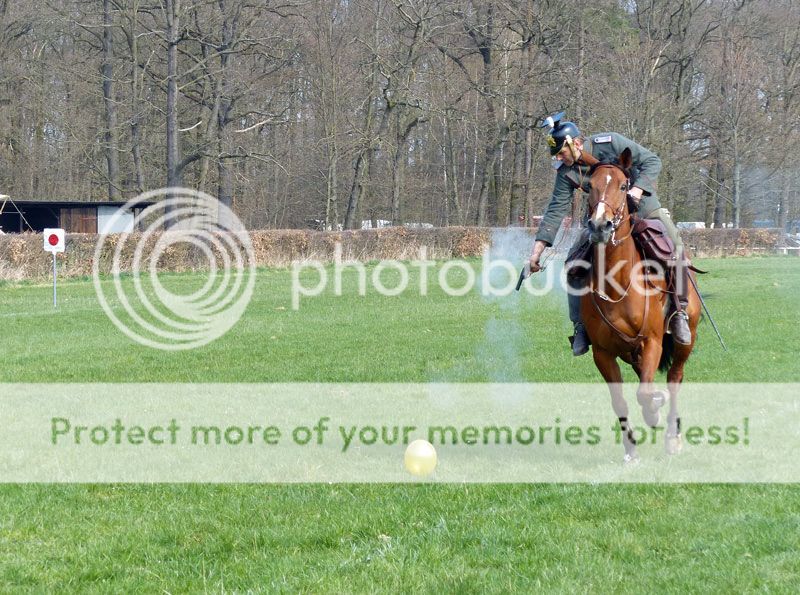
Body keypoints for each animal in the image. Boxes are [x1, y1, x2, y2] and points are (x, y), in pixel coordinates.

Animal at [576, 147, 700, 464]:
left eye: (623, 186)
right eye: (589, 186)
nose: (600, 226)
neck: (618, 283)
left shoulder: (653, 341)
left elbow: (646, 392)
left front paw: (654, 411)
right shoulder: (603, 353)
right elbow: (620, 401)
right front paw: (631, 449)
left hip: (685, 341)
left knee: (674, 378)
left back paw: (672, 436)